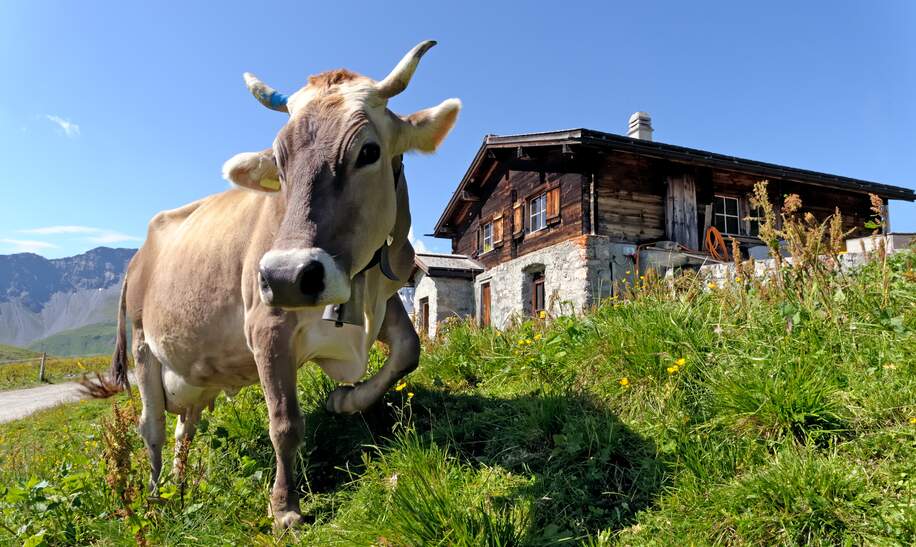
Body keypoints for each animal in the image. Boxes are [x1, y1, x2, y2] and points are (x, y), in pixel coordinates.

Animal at [102, 40, 458, 528]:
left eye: (369, 151)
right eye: (281, 164)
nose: (288, 276)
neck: (361, 291)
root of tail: (138, 254)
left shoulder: (382, 296)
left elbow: (409, 350)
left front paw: (345, 400)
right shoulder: (266, 325)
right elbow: (285, 422)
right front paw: (285, 508)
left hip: (193, 374)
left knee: (183, 428)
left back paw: (180, 485)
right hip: (142, 346)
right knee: (151, 428)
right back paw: (156, 501)